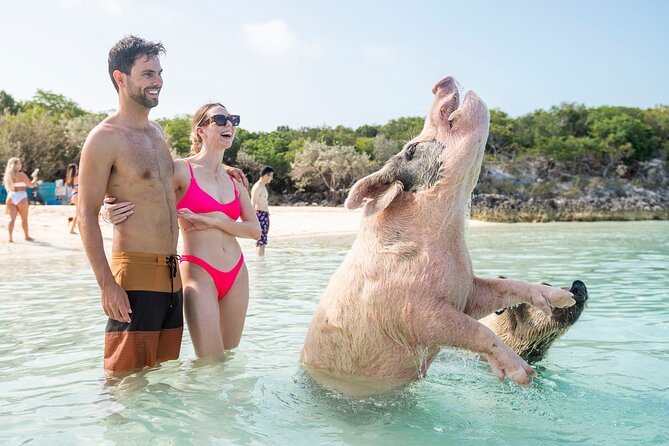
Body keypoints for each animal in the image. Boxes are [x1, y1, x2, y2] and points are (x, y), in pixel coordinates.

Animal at [300, 76, 576, 389]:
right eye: (410, 149)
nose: (441, 81)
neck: (448, 232)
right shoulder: (412, 313)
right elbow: (474, 329)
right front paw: (524, 375)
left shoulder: (467, 289)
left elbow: (503, 287)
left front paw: (562, 297)